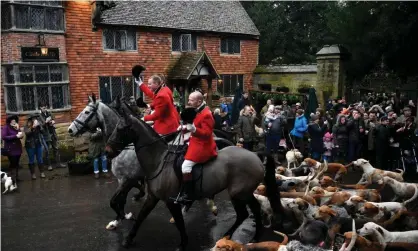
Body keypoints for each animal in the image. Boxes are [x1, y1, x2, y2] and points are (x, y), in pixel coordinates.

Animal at [104, 99, 282, 250]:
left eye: (120, 129)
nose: (107, 151)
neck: (158, 160)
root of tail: (255, 154)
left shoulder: (169, 200)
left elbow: (179, 222)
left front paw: (183, 243)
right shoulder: (151, 197)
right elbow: (141, 216)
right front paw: (128, 238)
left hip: (239, 193)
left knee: (246, 212)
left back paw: (239, 236)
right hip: (242, 193)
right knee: (249, 211)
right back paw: (242, 236)